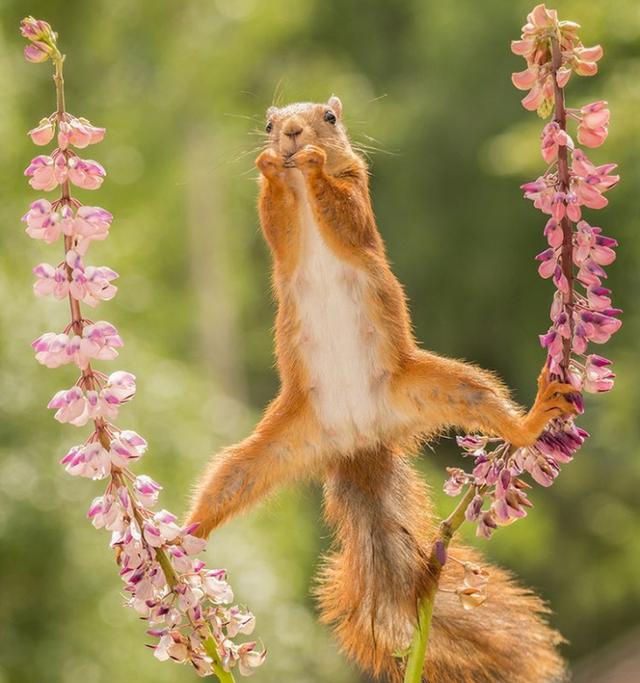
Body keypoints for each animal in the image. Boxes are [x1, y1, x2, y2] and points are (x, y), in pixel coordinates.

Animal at [186, 97, 576, 683]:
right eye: (269, 123)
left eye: (329, 117)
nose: (292, 134)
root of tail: (359, 442)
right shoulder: (283, 235)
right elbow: (276, 224)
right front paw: (271, 168)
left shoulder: (359, 191)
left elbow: (345, 215)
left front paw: (314, 165)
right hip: (268, 449)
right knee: (227, 483)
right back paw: (181, 537)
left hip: (445, 388)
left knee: (491, 406)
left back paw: (531, 420)